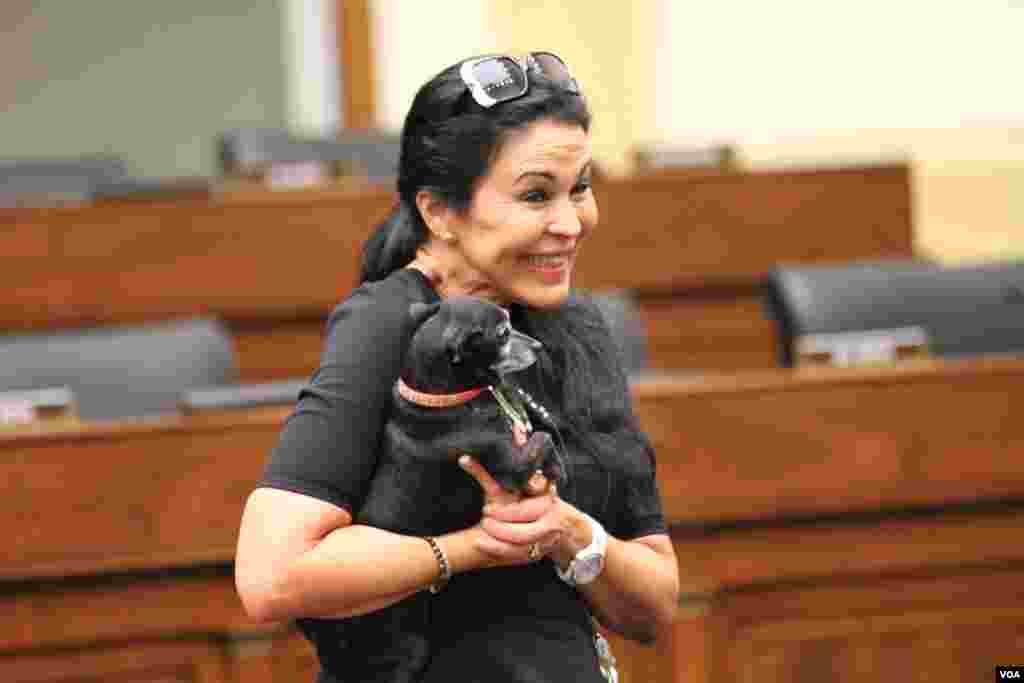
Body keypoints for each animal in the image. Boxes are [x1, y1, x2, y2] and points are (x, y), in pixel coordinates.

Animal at [348, 296, 565, 679]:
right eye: (503, 333)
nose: (538, 346)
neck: (443, 398)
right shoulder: (510, 466)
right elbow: (541, 440)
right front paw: (557, 467)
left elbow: (540, 433)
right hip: (407, 650)